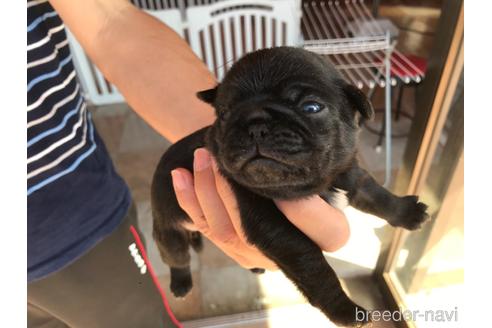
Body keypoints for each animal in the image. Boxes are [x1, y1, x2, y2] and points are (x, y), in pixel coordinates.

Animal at [152, 47, 428, 326]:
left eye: (311, 107)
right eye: (223, 114)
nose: (255, 125)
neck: (309, 186)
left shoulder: (348, 174)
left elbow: (376, 195)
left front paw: (407, 212)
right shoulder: (279, 231)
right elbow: (315, 267)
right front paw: (344, 309)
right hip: (169, 232)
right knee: (177, 257)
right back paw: (181, 284)